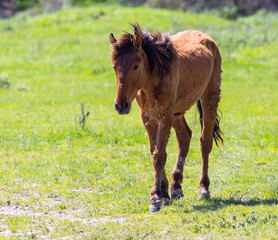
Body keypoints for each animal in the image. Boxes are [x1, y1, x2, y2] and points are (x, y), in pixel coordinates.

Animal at [109, 23, 224, 212]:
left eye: (135, 66)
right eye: (114, 67)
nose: (121, 105)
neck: (154, 80)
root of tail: (208, 39)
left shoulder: (165, 117)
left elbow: (159, 155)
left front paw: (155, 199)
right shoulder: (148, 118)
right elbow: (155, 152)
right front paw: (164, 194)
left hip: (209, 98)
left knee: (205, 142)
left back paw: (204, 189)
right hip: (177, 112)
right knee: (185, 138)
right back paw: (176, 187)